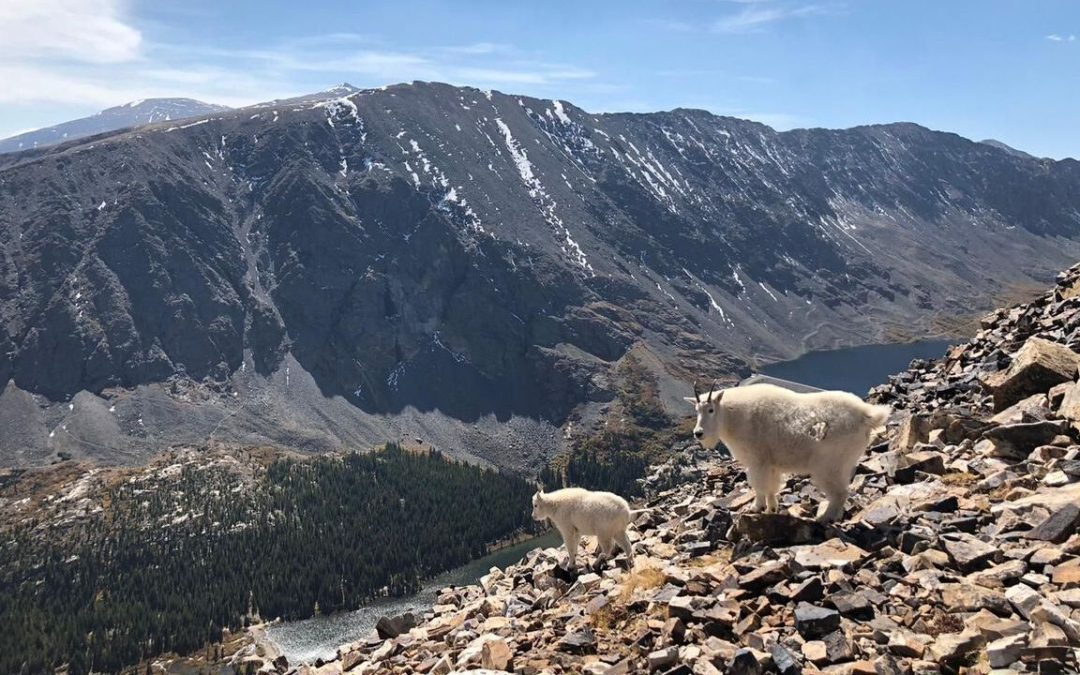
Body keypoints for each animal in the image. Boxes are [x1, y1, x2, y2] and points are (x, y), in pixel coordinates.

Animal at [686, 380, 889, 520]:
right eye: (696, 410)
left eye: (711, 409)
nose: (698, 433)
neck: (732, 416)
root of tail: (867, 415)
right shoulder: (771, 463)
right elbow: (772, 487)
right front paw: (772, 509)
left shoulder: (758, 460)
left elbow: (759, 485)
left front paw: (756, 508)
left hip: (829, 463)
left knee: (840, 493)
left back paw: (824, 518)